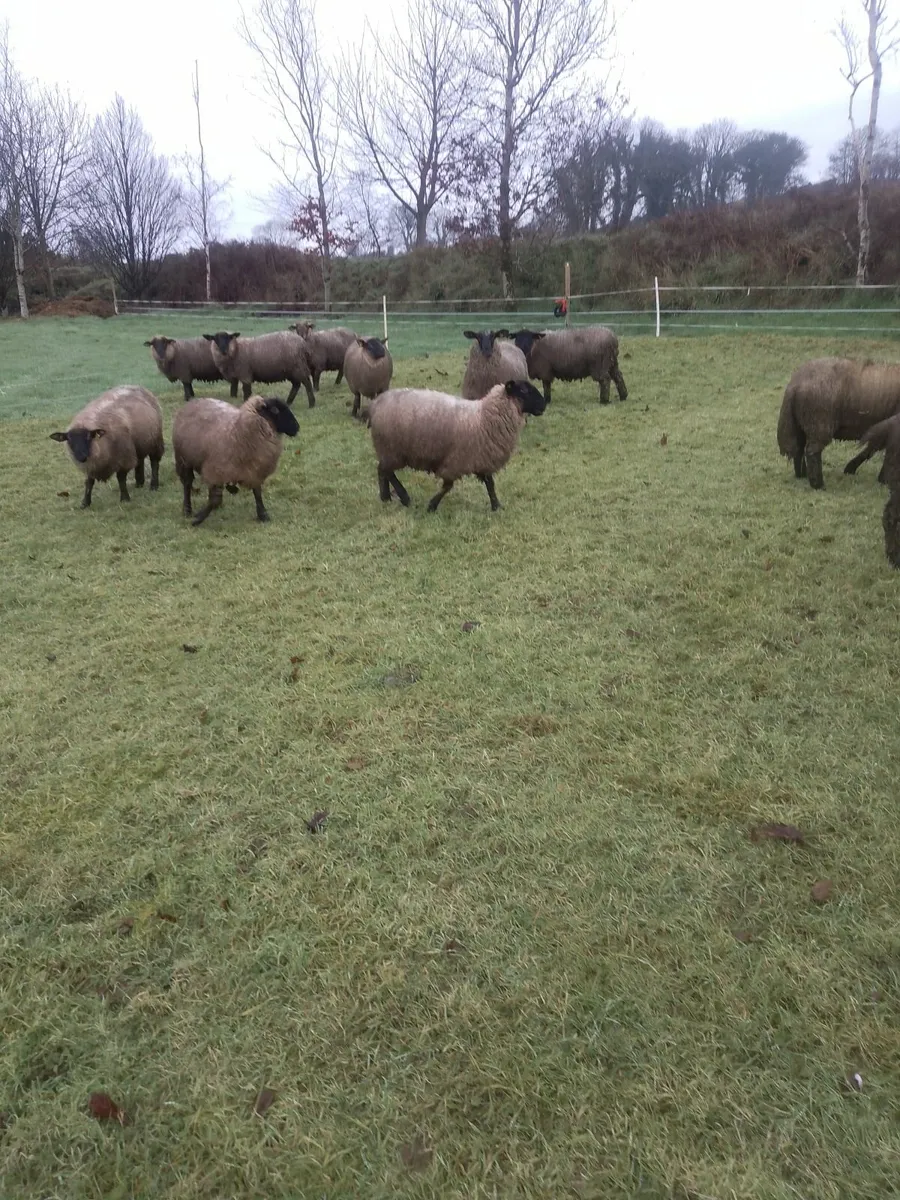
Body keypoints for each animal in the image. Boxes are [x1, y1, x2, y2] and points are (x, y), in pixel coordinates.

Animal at [172, 394, 299, 526]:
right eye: (276, 410)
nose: (297, 427)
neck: (238, 430)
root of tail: (194, 401)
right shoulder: (216, 472)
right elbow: (214, 500)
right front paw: (198, 518)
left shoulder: (254, 471)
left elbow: (257, 493)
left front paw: (263, 515)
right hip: (183, 460)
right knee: (187, 484)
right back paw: (187, 509)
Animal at [368, 379, 547, 512]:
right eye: (524, 390)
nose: (544, 405)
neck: (484, 418)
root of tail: (376, 403)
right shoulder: (455, 461)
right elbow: (448, 486)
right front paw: (432, 505)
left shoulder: (482, 457)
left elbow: (490, 484)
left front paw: (496, 506)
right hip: (392, 449)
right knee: (386, 471)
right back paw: (403, 497)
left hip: (389, 450)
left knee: (381, 470)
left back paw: (386, 497)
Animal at [777, 357, 900, 489]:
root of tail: (795, 384)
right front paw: (884, 479)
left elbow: (873, 447)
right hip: (819, 423)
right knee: (812, 451)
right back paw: (818, 485)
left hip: (800, 424)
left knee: (799, 449)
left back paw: (802, 475)